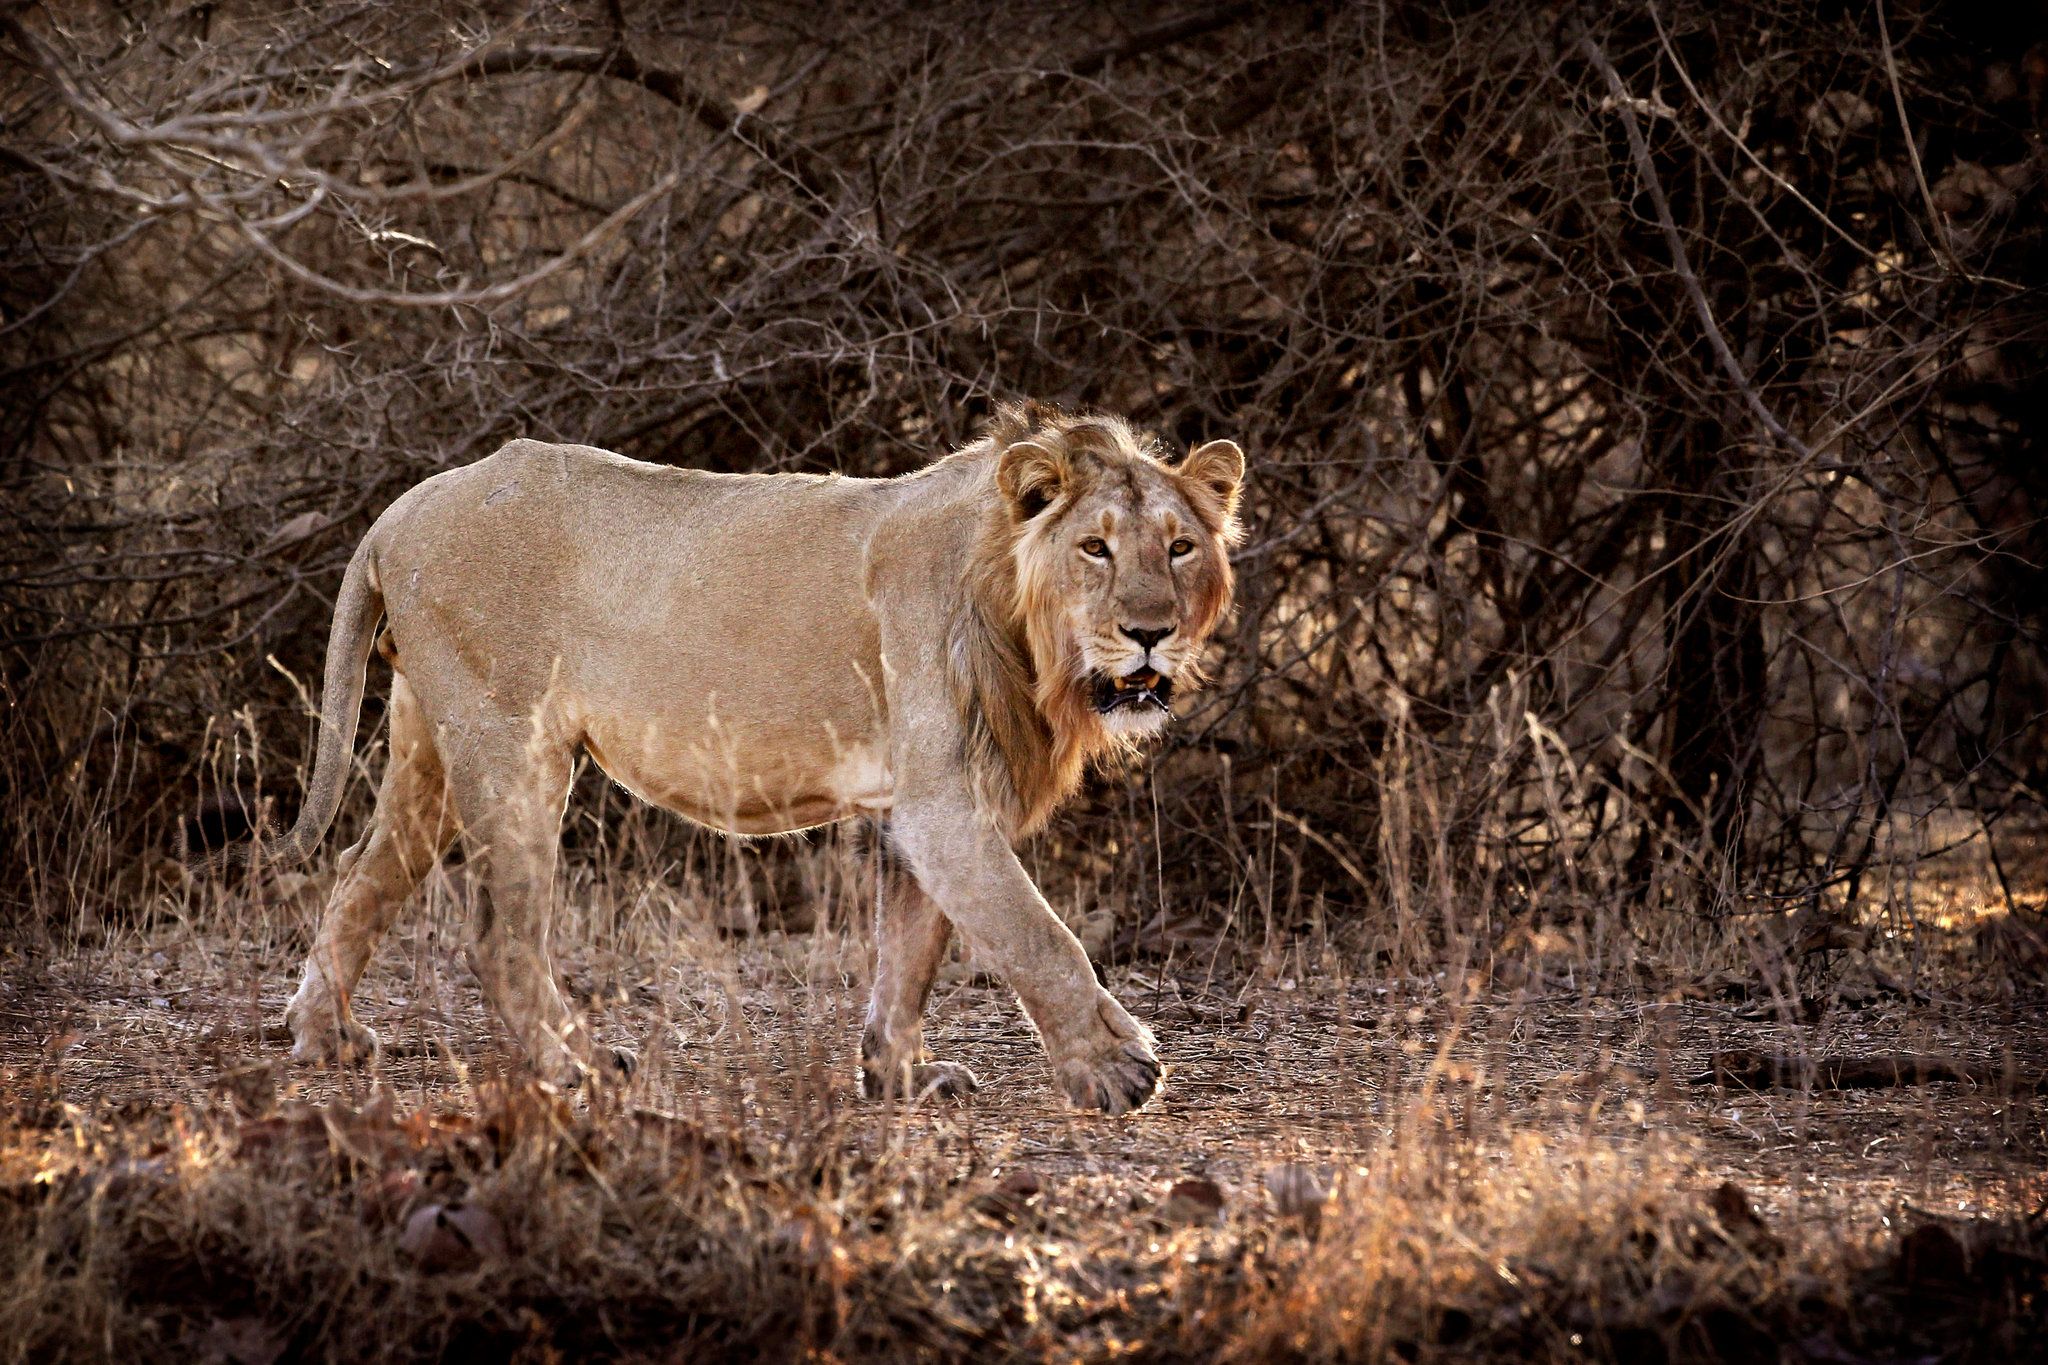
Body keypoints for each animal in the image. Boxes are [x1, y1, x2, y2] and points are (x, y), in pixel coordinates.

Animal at [251, 400, 1244, 1113]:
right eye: (1095, 547)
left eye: (1180, 547)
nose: (1149, 632)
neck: (1019, 616)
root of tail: (402, 508)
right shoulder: (944, 806)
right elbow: (1040, 935)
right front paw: (1117, 1068)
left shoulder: (919, 806)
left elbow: (911, 949)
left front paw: (900, 1076)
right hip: (510, 743)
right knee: (499, 932)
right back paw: (574, 1066)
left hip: (427, 747)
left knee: (359, 872)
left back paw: (327, 1035)